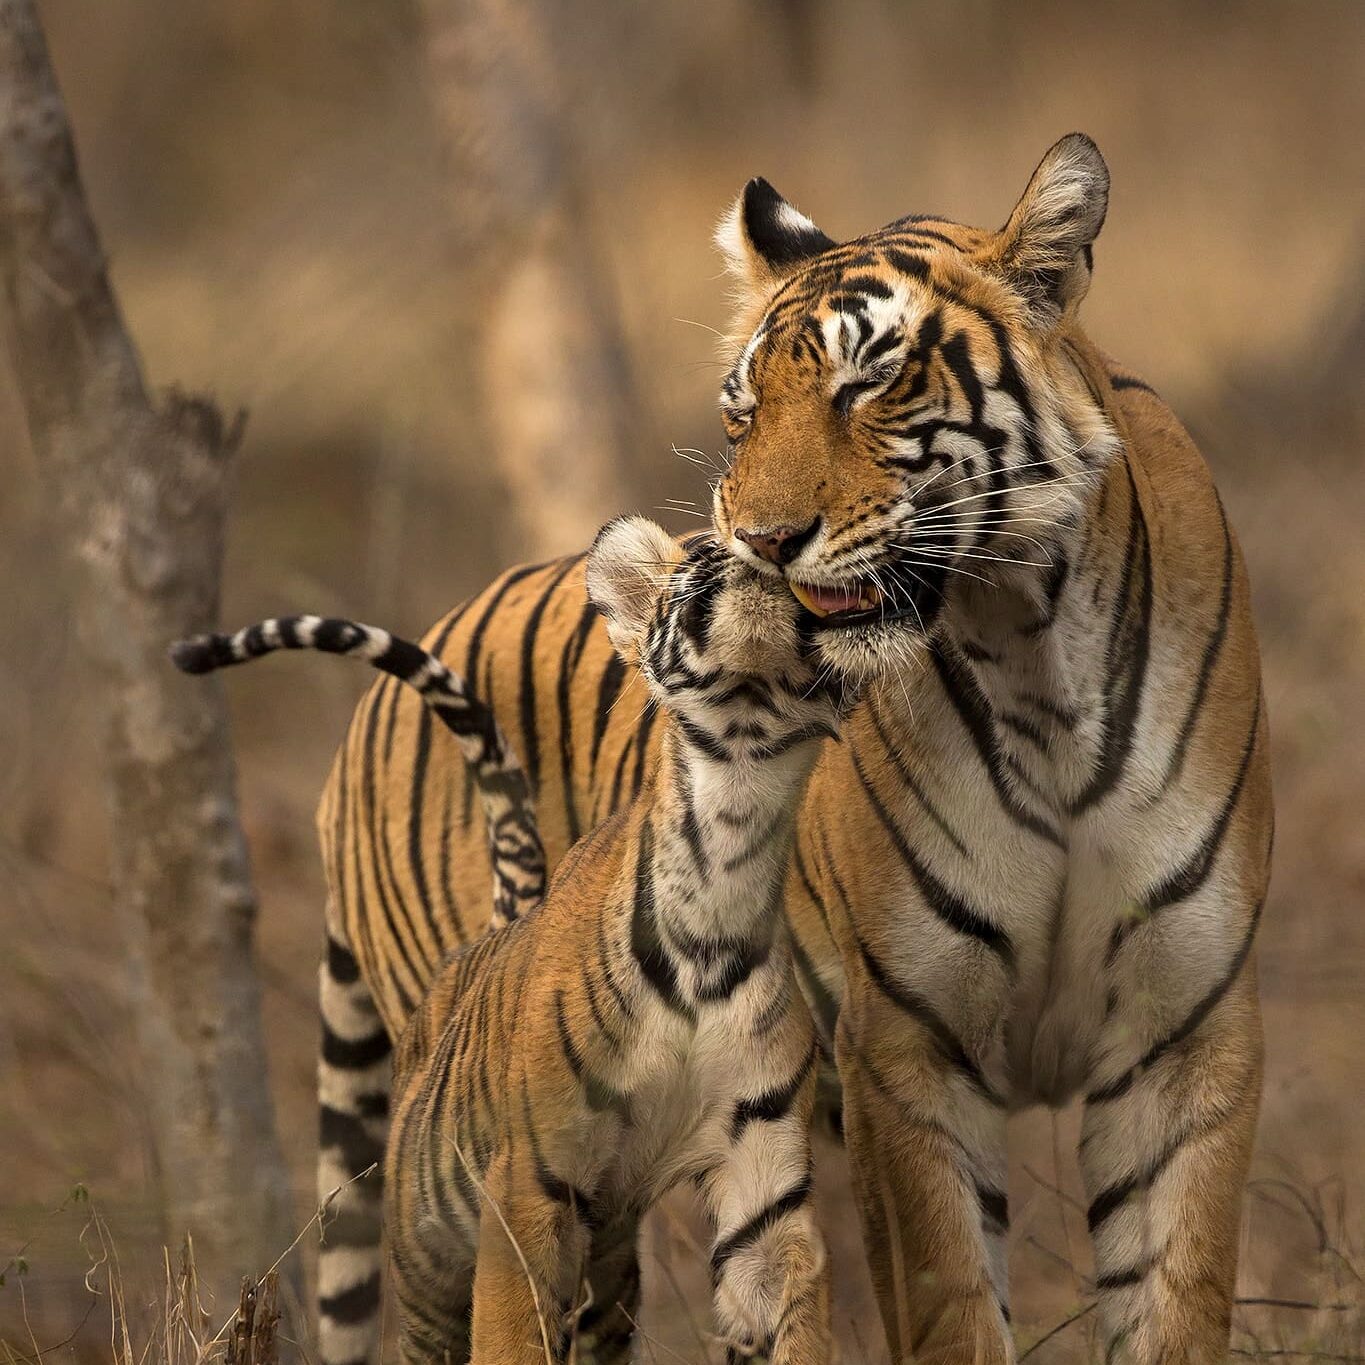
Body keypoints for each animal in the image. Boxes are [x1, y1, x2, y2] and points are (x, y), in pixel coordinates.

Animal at [316, 135, 1266, 1365]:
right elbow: (955, 1308)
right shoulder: (904, 1047)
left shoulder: (1185, 1034)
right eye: (740, 414)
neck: (1034, 653)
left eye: (869, 383)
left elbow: (1175, 1302)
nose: (760, 543)